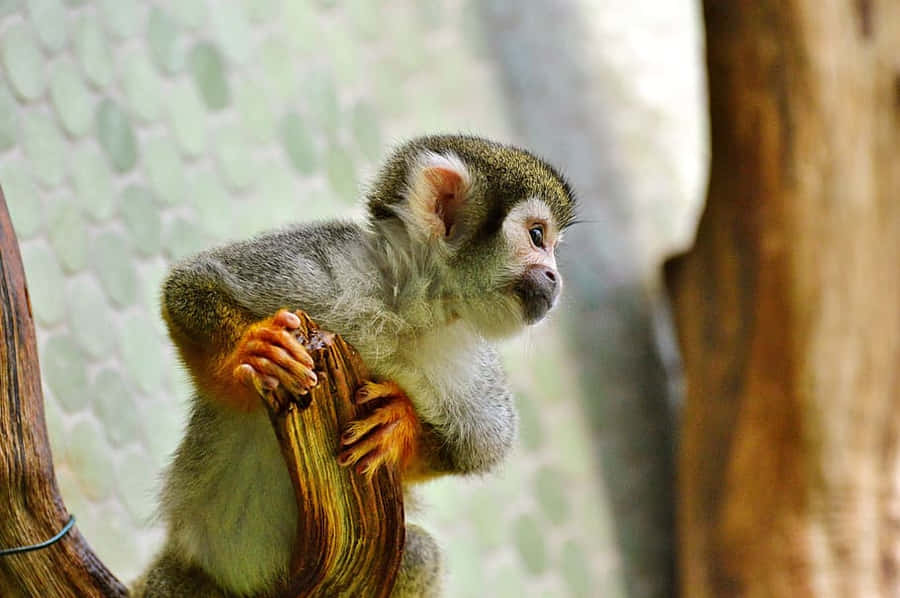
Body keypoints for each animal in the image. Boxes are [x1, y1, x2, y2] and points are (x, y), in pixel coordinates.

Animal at [131, 135, 576, 598]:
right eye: (538, 236)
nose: (555, 279)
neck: (409, 307)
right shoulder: (330, 262)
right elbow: (190, 285)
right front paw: (253, 351)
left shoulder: (469, 356)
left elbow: (479, 448)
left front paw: (399, 423)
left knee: (419, 553)